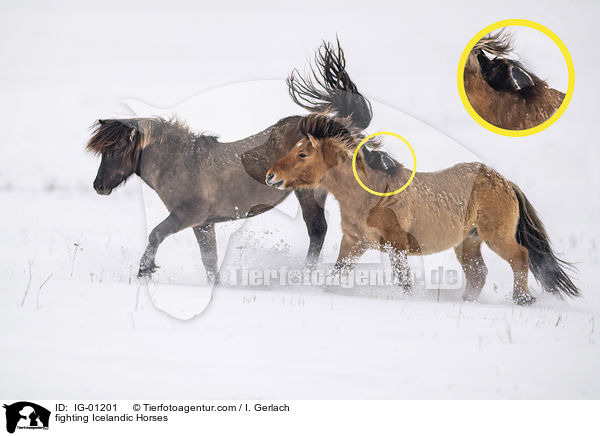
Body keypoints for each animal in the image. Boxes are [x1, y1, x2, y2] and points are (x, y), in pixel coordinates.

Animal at [86, 40, 378, 282]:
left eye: (115, 152)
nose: (98, 186)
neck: (182, 163)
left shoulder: (188, 215)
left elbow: (156, 233)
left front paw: (144, 270)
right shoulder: (204, 224)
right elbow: (209, 260)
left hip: (308, 192)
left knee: (318, 230)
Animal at [266, 114, 576, 304]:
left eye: (302, 153)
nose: (271, 176)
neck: (371, 194)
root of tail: (504, 182)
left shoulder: (396, 245)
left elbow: (404, 281)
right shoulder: (354, 242)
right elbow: (337, 272)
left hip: (496, 237)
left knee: (520, 258)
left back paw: (523, 299)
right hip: (468, 242)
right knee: (478, 274)